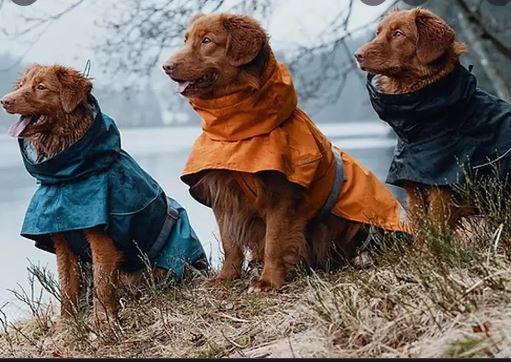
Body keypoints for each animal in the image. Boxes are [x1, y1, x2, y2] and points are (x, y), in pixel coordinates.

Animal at [1, 64, 208, 326]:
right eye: (21, 85)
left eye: (40, 87)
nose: (4, 101)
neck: (67, 177)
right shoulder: (62, 242)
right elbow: (68, 288)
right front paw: (66, 326)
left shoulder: (102, 242)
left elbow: (100, 285)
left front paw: (103, 324)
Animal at [162, 12, 410, 292]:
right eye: (186, 39)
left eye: (206, 40)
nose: (166, 66)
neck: (240, 133)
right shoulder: (224, 195)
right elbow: (230, 242)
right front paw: (226, 277)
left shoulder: (281, 195)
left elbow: (274, 241)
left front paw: (267, 281)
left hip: (360, 221)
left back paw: (361, 257)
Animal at [358, 8, 511, 235]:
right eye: (378, 32)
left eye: (398, 34)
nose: (357, 55)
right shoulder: (414, 192)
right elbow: (422, 237)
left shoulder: (442, 193)